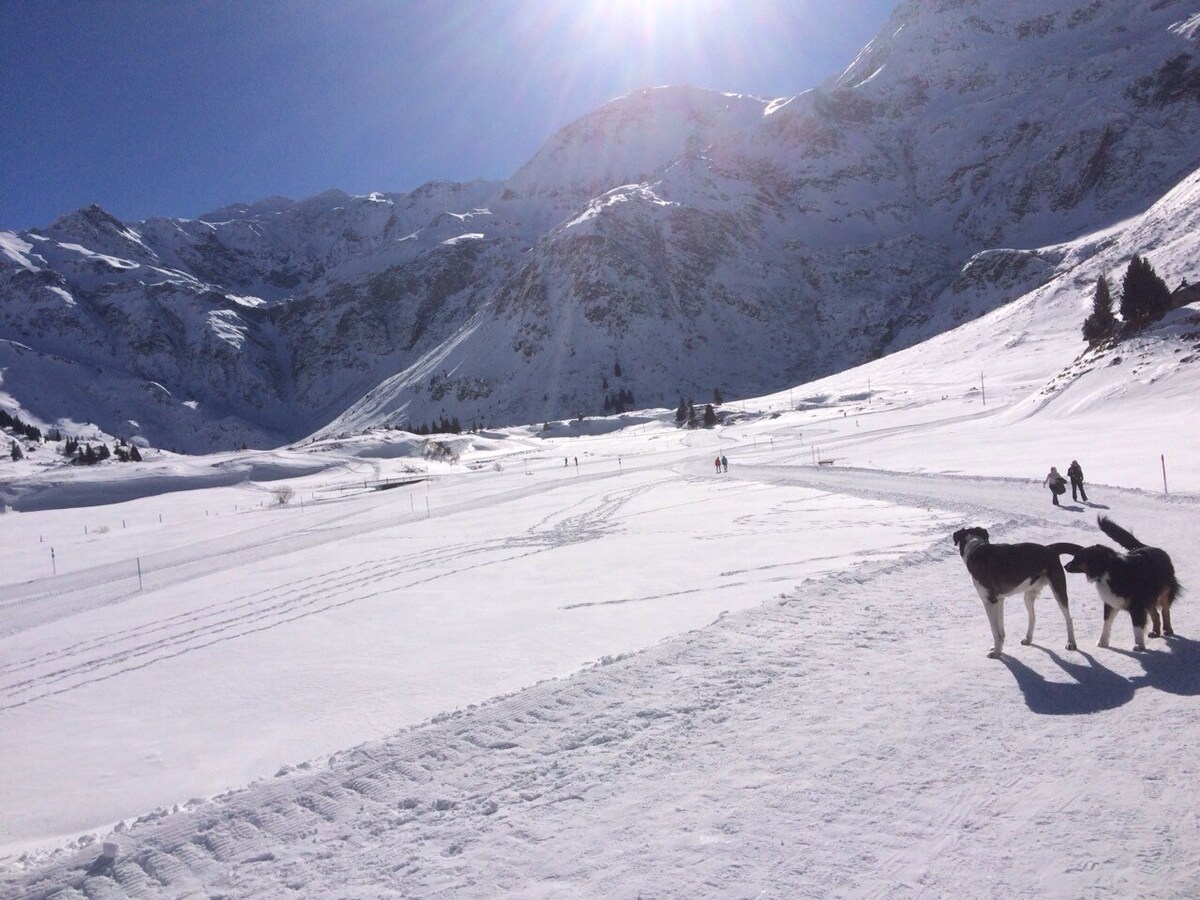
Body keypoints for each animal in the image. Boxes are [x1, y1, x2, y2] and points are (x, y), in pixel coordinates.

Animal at [950, 528, 1084, 662]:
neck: (975, 548)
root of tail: (1050, 548)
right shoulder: (999, 600)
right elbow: (1000, 628)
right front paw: (998, 648)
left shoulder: (990, 601)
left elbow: (995, 630)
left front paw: (996, 653)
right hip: (1028, 595)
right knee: (1032, 617)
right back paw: (1028, 638)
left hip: (1058, 590)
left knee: (1069, 618)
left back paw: (1071, 643)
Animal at [1060, 513, 1180, 657]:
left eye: (1078, 558)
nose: (1065, 566)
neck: (1107, 571)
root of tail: (1149, 546)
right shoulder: (1110, 602)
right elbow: (1106, 623)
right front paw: (1102, 642)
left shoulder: (1136, 605)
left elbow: (1137, 625)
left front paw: (1139, 646)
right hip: (1149, 596)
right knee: (1155, 613)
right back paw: (1155, 632)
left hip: (1165, 590)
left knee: (1165, 610)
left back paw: (1167, 629)